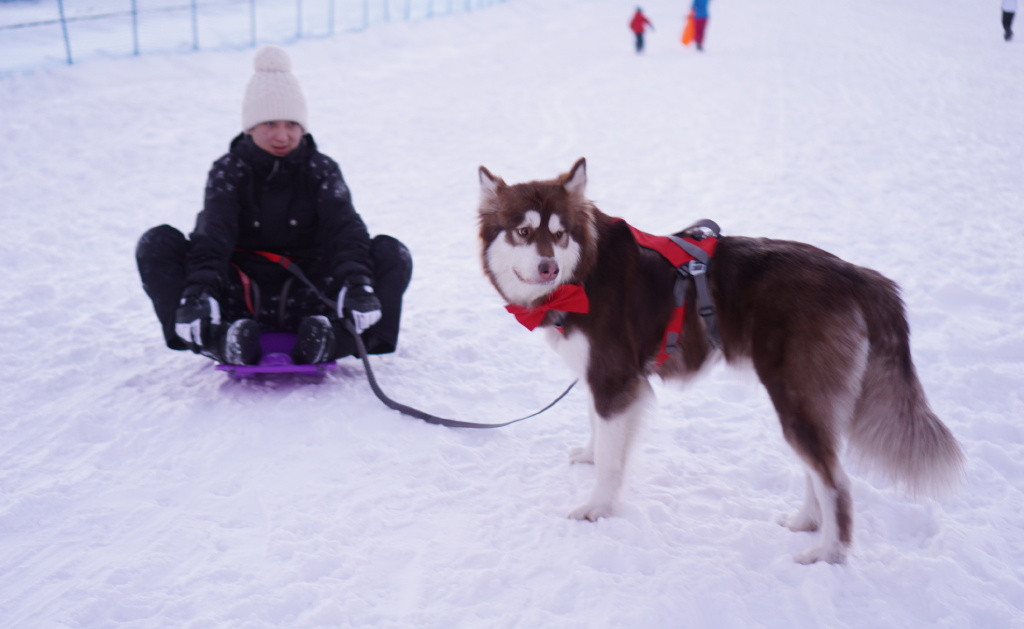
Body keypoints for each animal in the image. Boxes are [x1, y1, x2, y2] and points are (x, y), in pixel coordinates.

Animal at [475, 157, 962, 565]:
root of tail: (856, 275)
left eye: (558, 235)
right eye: (523, 232)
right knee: (819, 468)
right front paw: (590, 456)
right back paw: (807, 522)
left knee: (836, 482)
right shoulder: (604, 381)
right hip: (804, 400)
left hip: (795, 395)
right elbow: (598, 429)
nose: (548, 268)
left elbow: (613, 461)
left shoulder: (615, 378)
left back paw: (827, 553)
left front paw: (597, 508)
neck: (585, 275)